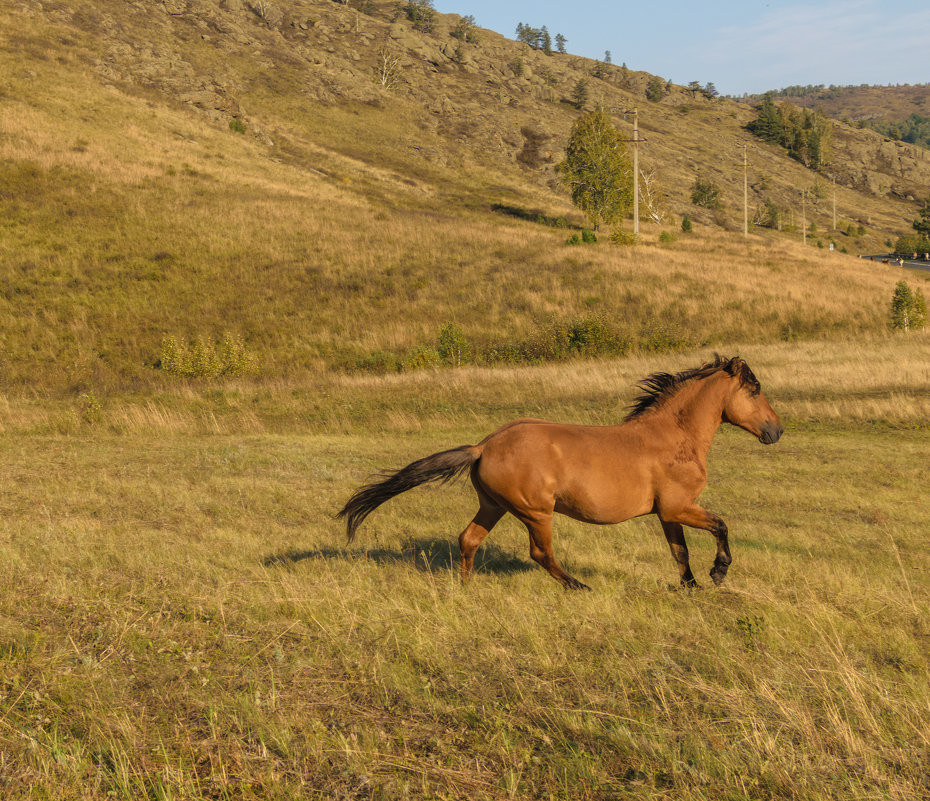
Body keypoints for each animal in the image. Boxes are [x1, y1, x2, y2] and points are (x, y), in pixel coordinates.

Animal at [338, 354, 780, 588]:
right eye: (755, 389)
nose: (776, 431)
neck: (673, 437)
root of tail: (484, 446)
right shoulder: (679, 507)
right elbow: (721, 526)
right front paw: (718, 573)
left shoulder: (668, 512)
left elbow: (679, 551)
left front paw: (691, 586)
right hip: (536, 512)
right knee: (540, 552)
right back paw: (576, 585)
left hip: (494, 506)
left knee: (468, 540)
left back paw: (466, 586)